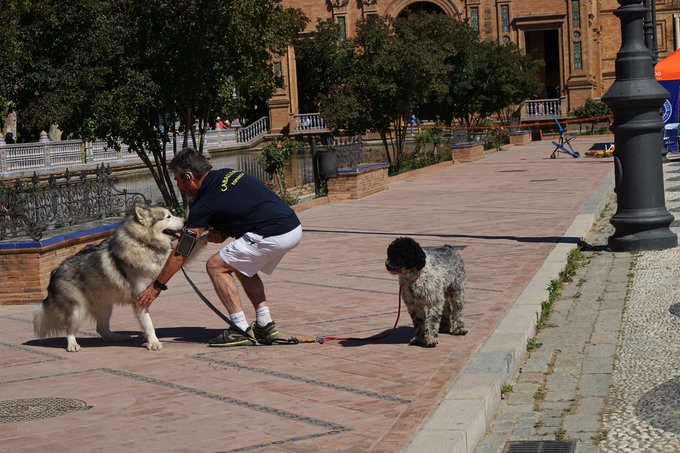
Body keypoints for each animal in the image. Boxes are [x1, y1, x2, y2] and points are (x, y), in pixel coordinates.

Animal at [33, 204, 185, 350]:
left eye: (171, 214)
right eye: (168, 216)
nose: (185, 220)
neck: (143, 243)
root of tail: (55, 272)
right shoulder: (140, 299)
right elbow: (148, 324)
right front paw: (153, 342)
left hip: (105, 306)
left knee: (101, 329)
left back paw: (118, 338)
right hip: (78, 309)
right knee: (70, 330)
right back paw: (72, 345)